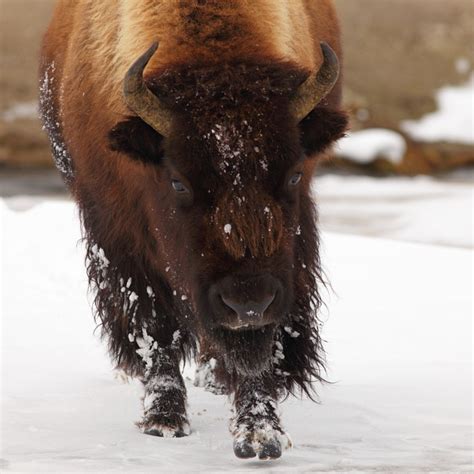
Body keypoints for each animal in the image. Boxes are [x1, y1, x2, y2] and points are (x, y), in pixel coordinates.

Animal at [39, 0, 346, 460]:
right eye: (178, 181)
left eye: (293, 174)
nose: (247, 303)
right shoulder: (120, 238)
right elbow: (154, 327)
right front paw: (163, 420)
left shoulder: (287, 266)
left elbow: (262, 349)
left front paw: (260, 433)